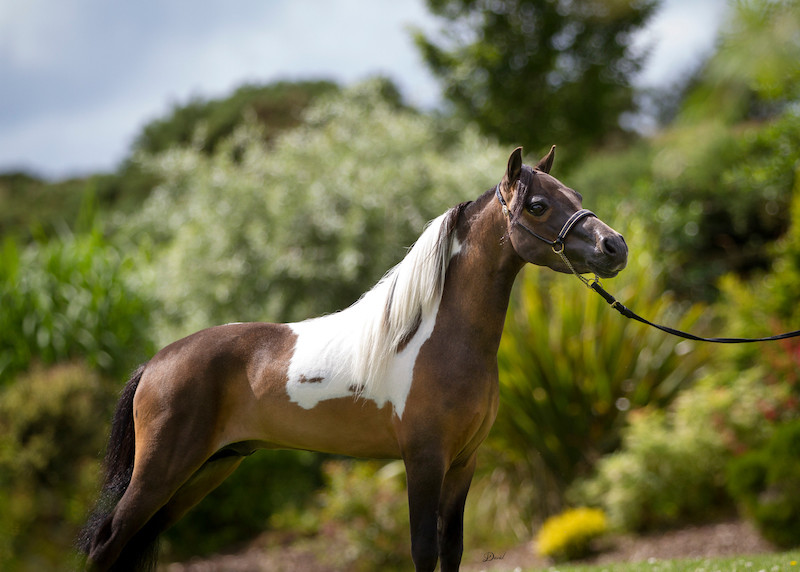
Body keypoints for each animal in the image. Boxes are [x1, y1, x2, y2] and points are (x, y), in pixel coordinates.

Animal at [79, 146, 628, 571]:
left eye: (576, 197)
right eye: (537, 204)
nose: (615, 246)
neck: (437, 340)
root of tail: (154, 364)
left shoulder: (463, 463)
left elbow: (452, 550)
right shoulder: (424, 460)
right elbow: (423, 551)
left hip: (205, 471)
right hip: (160, 473)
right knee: (107, 544)